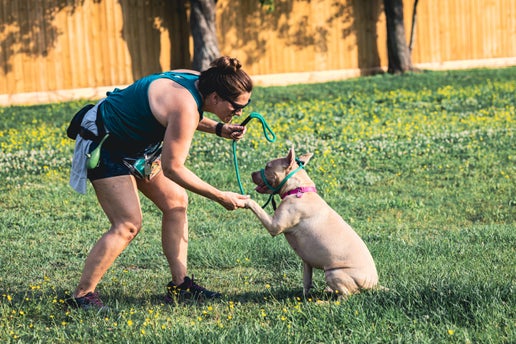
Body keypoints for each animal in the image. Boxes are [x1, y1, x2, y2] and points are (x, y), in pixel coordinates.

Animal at [246, 147, 378, 296]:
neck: (298, 190)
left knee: (346, 295)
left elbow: (255, 205)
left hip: (333, 273)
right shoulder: (306, 262)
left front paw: (243, 200)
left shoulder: (274, 226)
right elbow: (306, 282)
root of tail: (373, 285)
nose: (251, 173)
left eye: (267, 166)